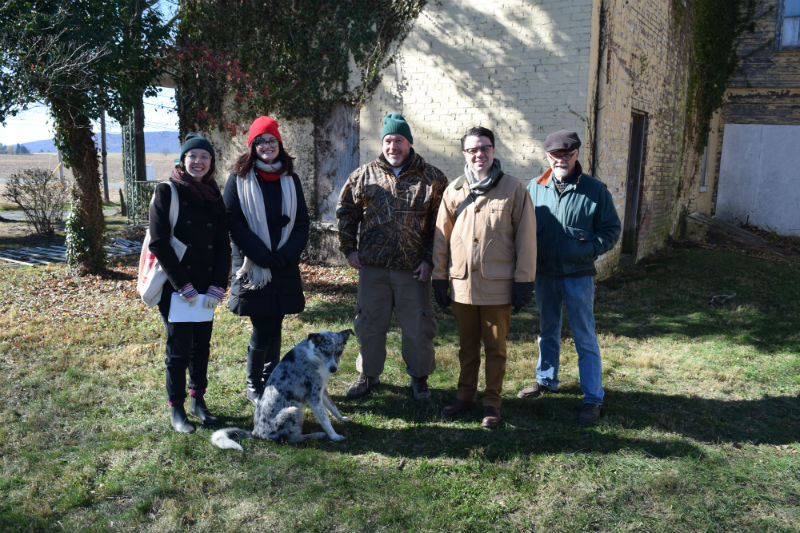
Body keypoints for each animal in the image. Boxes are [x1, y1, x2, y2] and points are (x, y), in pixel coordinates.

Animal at [211, 328, 352, 448]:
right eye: (326, 352)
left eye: (339, 352)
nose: (333, 369)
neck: (315, 356)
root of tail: (256, 433)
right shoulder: (313, 396)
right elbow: (325, 419)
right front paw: (334, 436)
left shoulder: (321, 390)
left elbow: (333, 407)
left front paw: (341, 418)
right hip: (294, 410)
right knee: (294, 439)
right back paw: (316, 435)